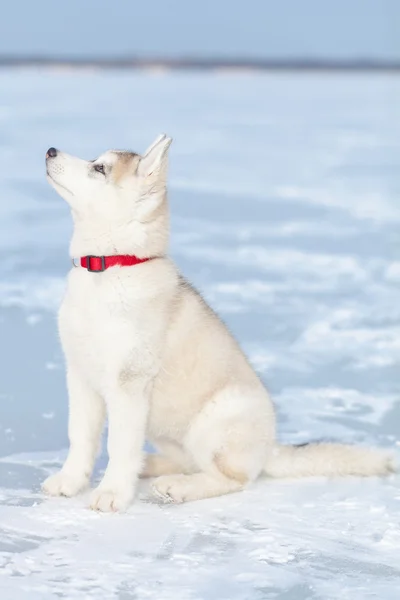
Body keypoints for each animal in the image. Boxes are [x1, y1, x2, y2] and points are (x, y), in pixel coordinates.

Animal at [43, 135, 394, 510]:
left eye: (99, 168)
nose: (50, 150)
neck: (110, 269)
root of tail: (269, 450)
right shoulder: (80, 375)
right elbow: (80, 437)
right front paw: (69, 481)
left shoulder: (130, 383)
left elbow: (119, 447)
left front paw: (111, 494)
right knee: (187, 460)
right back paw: (152, 466)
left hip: (214, 419)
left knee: (233, 478)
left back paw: (179, 487)